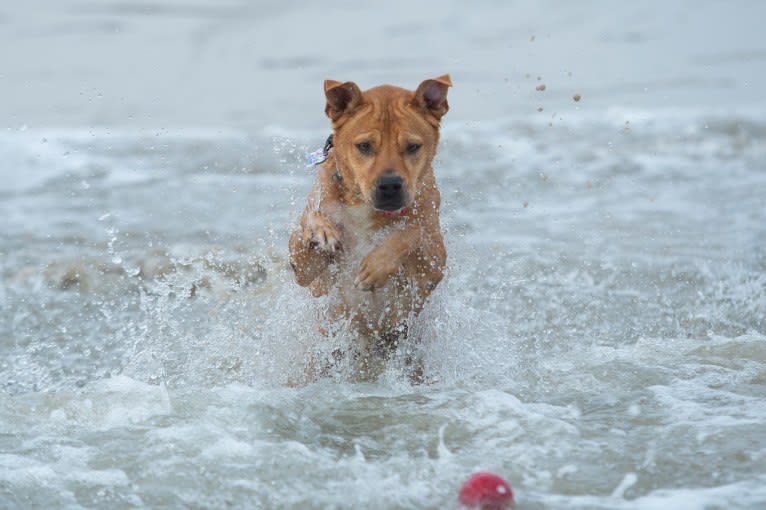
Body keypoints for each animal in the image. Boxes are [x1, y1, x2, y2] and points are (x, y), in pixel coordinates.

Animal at [292, 74, 452, 378]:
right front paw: (322, 231)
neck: (365, 208)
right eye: (364, 146)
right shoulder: (307, 274)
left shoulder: (433, 264)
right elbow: (308, 225)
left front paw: (375, 268)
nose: (389, 185)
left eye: (412, 146)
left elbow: (413, 231)